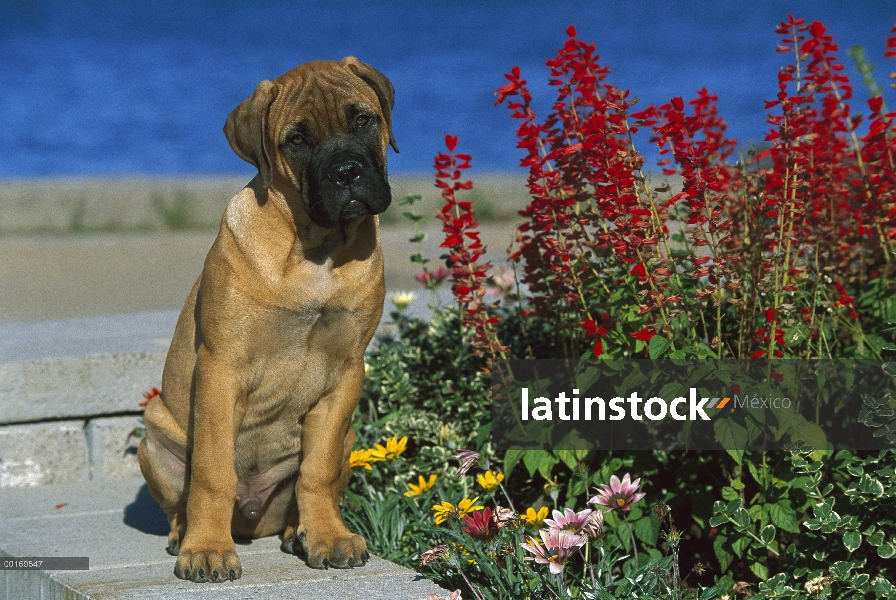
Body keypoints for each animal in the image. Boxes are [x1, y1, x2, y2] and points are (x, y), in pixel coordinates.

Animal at [136, 56, 396, 580]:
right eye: (296, 140)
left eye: (364, 119)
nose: (347, 173)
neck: (317, 254)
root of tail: (252, 517)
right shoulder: (221, 368)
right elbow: (213, 471)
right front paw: (207, 549)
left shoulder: (346, 373)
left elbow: (316, 471)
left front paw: (328, 537)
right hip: (153, 437)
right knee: (183, 501)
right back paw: (184, 534)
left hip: (349, 436)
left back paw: (299, 530)